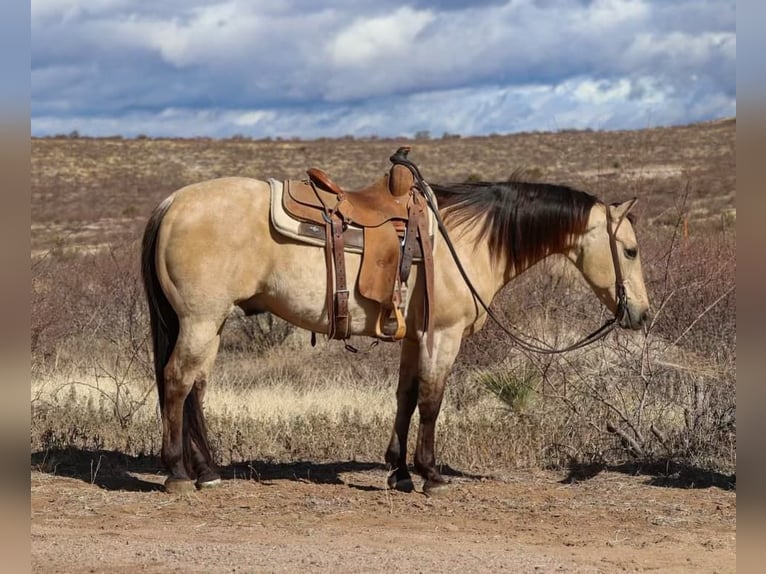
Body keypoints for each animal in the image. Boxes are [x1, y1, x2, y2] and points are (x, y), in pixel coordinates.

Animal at [141, 172, 650, 495]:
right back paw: (178, 473)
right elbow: (432, 400)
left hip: (211, 323)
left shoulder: (413, 336)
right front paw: (431, 475)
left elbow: (405, 397)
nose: (642, 315)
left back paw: (207, 470)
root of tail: (172, 204)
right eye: (629, 250)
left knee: (195, 389)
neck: (464, 241)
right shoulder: (443, 335)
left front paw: (399, 471)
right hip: (200, 321)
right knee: (177, 382)